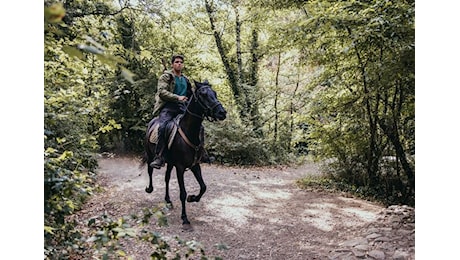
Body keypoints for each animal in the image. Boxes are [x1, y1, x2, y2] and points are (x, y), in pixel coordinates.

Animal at [141, 80, 226, 229]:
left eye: (214, 93)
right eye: (203, 94)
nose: (222, 112)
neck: (189, 131)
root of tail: (152, 122)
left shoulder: (195, 165)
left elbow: (203, 187)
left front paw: (192, 198)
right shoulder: (180, 167)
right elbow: (182, 193)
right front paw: (184, 218)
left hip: (170, 163)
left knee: (167, 178)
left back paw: (168, 201)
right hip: (151, 156)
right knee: (150, 170)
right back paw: (149, 189)